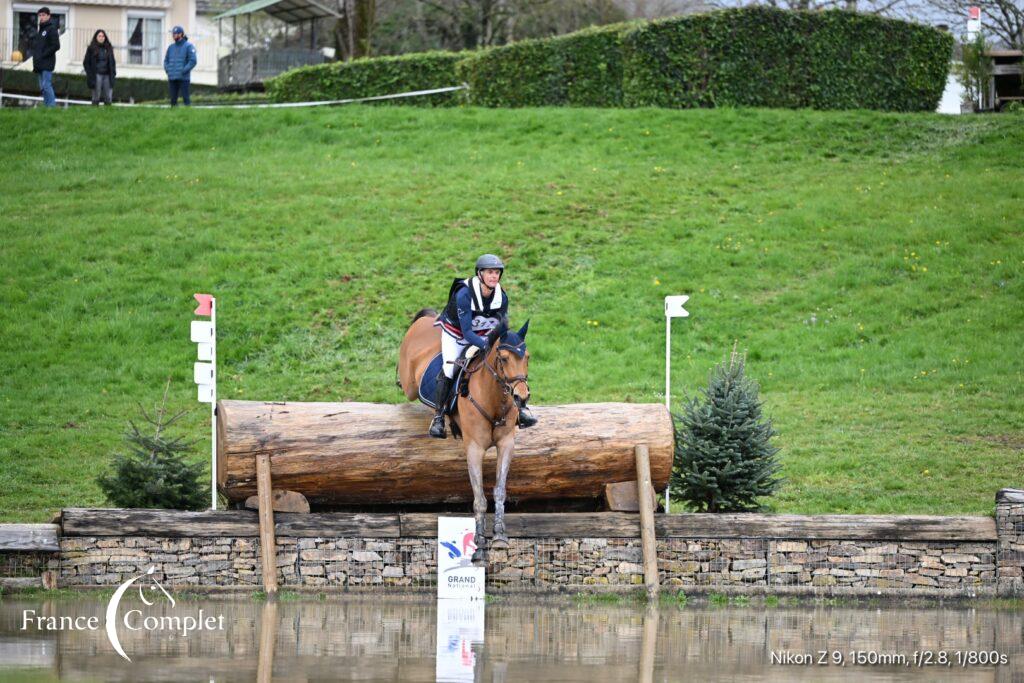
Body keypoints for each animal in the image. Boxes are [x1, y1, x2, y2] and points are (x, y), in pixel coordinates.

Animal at [397, 309, 532, 561]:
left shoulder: (506, 443)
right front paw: (479, 545)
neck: (494, 399)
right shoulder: (474, 448)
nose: (521, 396)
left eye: (526, 357)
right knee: (407, 384)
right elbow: (479, 498)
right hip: (409, 384)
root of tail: (425, 319)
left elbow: (499, 490)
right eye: (503, 359)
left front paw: (499, 536)